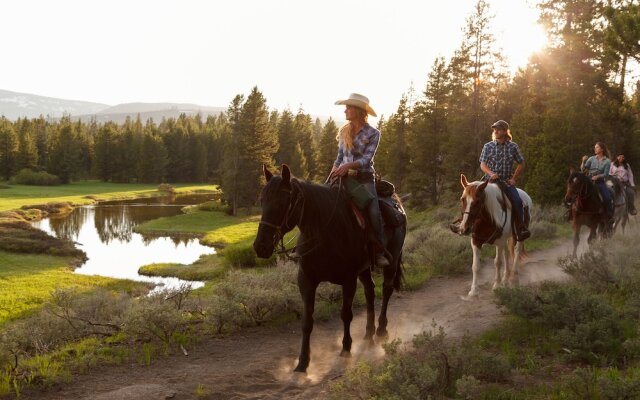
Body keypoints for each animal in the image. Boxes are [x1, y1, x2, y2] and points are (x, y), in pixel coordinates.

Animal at [254, 164, 408, 374]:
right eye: (262, 200)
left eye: (281, 202)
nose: (260, 246)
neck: (324, 232)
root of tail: (396, 201)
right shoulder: (306, 280)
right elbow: (307, 322)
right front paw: (303, 362)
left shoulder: (348, 280)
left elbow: (346, 314)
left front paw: (346, 349)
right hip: (364, 269)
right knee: (370, 291)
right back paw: (368, 335)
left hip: (391, 260)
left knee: (386, 290)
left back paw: (381, 331)